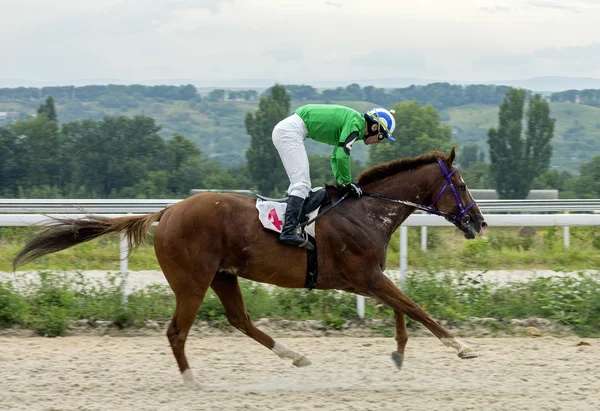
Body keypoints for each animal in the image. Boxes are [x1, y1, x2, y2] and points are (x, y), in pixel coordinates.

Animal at [11, 148, 486, 390]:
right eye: (462, 185)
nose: (479, 222)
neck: (366, 211)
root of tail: (167, 211)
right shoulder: (365, 277)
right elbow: (416, 308)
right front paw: (462, 346)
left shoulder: (368, 280)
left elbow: (404, 311)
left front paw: (400, 354)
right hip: (192, 281)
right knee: (177, 331)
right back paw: (191, 381)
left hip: (223, 276)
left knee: (240, 320)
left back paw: (295, 355)